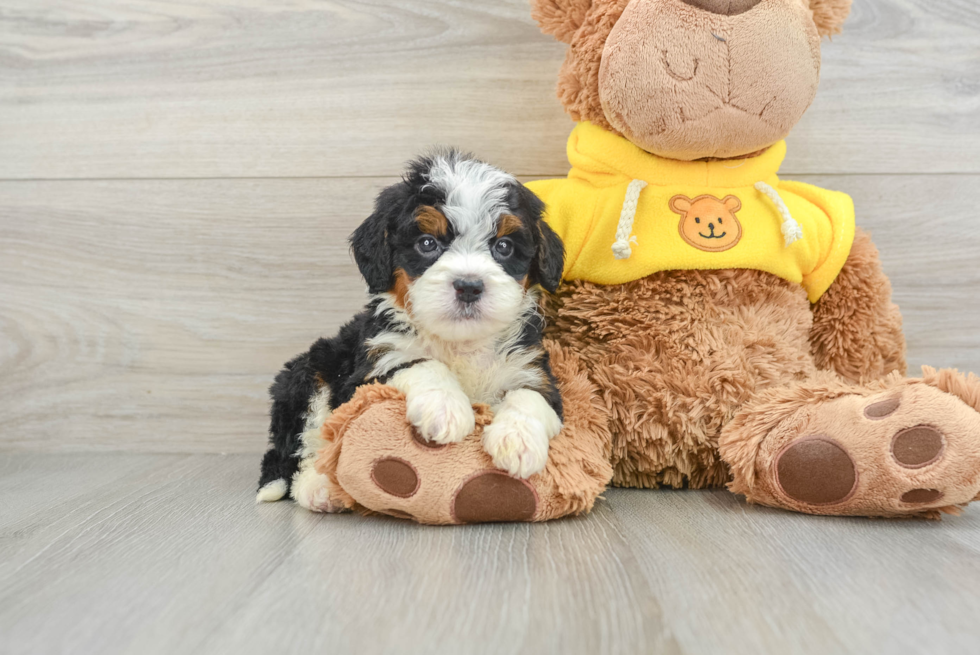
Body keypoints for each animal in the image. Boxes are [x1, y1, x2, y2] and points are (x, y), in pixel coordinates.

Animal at [256, 151, 568, 510]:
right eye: (427, 243)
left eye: (503, 247)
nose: (469, 286)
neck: (460, 344)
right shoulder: (369, 369)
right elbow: (421, 363)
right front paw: (446, 408)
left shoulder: (531, 368)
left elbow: (530, 397)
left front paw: (517, 440)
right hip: (309, 375)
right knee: (302, 447)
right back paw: (318, 487)